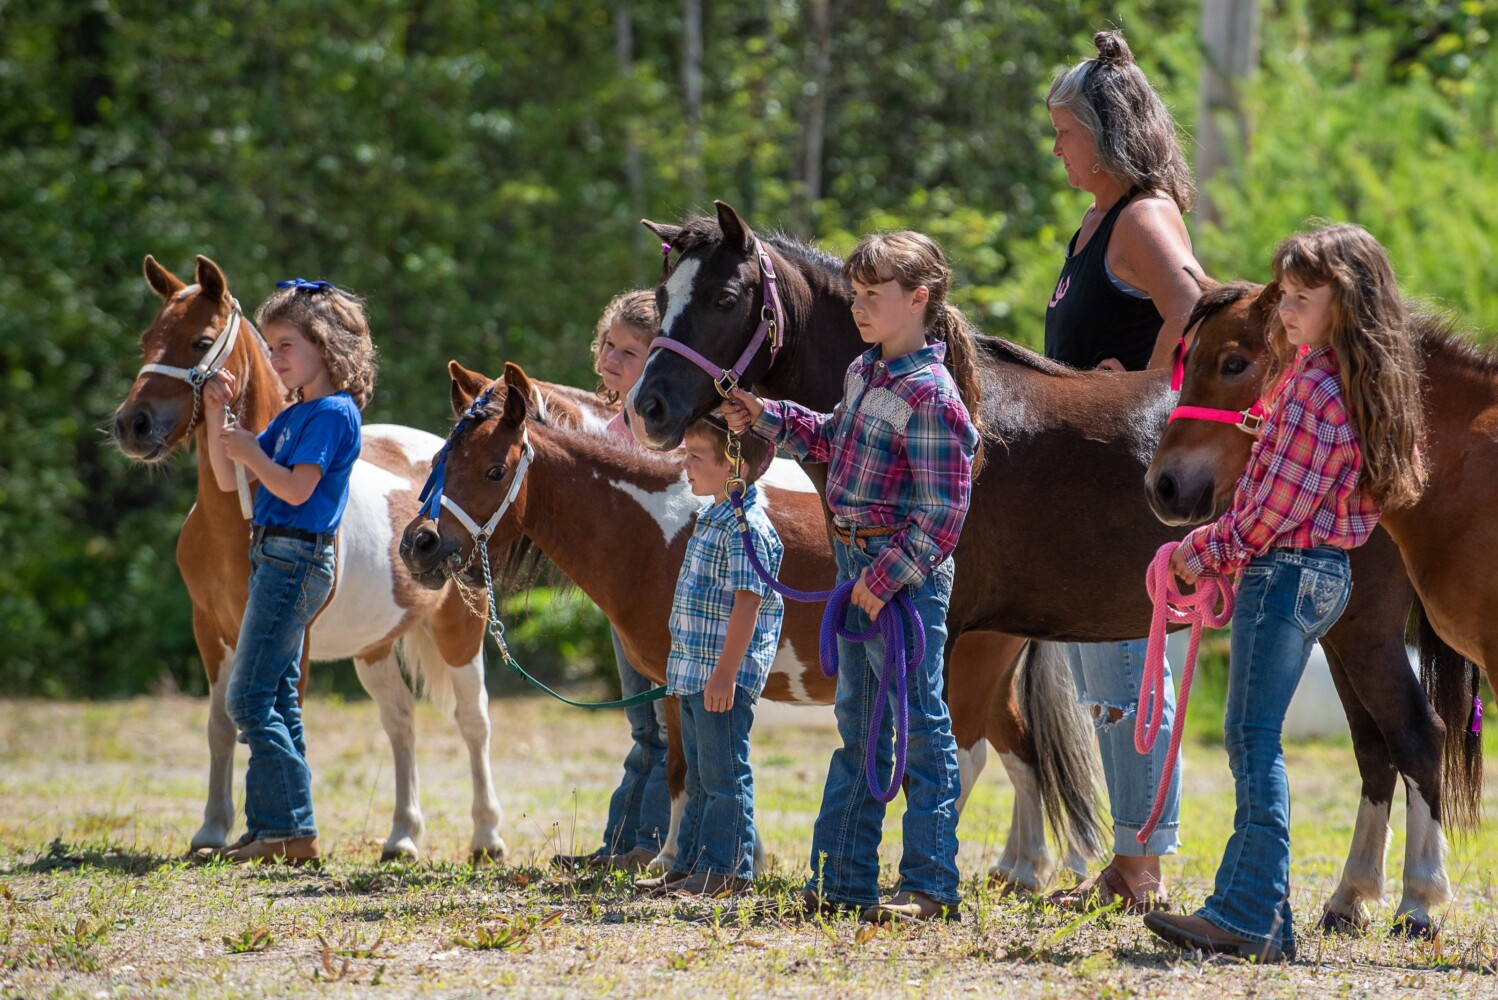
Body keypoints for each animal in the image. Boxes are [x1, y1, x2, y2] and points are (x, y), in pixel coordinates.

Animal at [112, 254, 509, 862]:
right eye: (146, 340)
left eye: (199, 340)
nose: (132, 425)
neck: (236, 518)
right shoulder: (212, 630)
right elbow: (221, 724)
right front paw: (211, 830)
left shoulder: (288, 637)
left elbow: (279, 716)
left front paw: (285, 836)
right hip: (374, 646)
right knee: (401, 720)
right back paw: (402, 836)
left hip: (460, 627)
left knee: (474, 720)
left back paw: (486, 837)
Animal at [623, 203, 1474, 940]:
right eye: (663, 297)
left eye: (725, 296)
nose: (649, 407)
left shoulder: (950, 625)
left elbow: (940, 749)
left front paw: (924, 884)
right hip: (1330, 626)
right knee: (1375, 750)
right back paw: (1350, 898)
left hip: (1360, 626)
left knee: (1416, 736)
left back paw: (1419, 902)